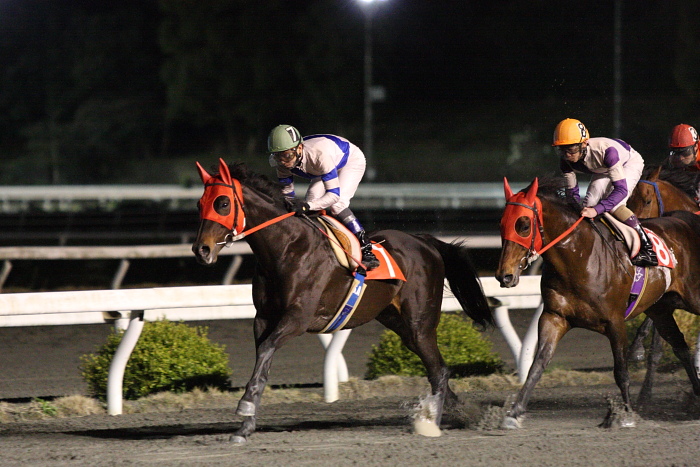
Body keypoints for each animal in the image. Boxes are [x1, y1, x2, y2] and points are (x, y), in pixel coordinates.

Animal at [193, 160, 492, 442]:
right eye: (200, 203)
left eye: (222, 203)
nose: (201, 250)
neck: (287, 247)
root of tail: (426, 242)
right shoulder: (264, 318)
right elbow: (262, 364)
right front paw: (245, 426)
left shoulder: (297, 318)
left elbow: (266, 352)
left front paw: (244, 408)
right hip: (398, 322)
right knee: (436, 370)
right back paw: (457, 412)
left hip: (420, 324)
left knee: (439, 371)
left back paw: (432, 423)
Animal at [494, 177, 700, 430]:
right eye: (501, 224)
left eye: (523, 225)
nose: (504, 276)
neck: (580, 257)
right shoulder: (555, 317)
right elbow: (537, 365)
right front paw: (514, 413)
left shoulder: (615, 321)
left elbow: (621, 371)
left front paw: (626, 415)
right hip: (660, 309)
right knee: (680, 347)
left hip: (693, 298)